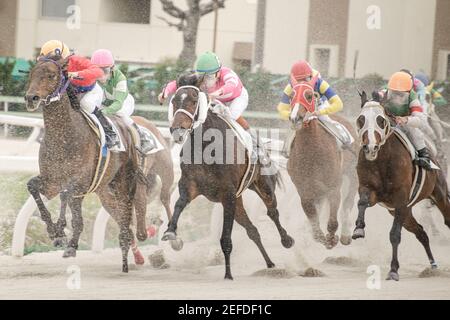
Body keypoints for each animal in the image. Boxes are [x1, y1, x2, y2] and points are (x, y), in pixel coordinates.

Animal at [162, 74, 296, 278]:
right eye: (174, 100)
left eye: (194, 100)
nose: (177, 130)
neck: (207, 147)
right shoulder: (190, 186)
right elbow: (178, 204)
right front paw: (171, 232)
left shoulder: (228, 195)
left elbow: (225, 238)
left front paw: (228, 275)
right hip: (238, 203)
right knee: (252, 230)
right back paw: (270, 263)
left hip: (262, 187)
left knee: (272, 212)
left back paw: (287, 240)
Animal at [288, 82, 358, 248]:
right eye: (291, 96)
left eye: (309, 96)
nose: (295, 118)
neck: (313, 153)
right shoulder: (305, 191)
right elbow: (314, 223)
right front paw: (320, 236)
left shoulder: (333, 187)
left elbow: (333, 221)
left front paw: (332, 238)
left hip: (351, 173)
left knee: (347, 203)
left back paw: (345, 234)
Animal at [354, 91, 448, 282]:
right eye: (361, 119)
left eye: (381, 120)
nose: (370, 147)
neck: (382, 160)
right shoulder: (371, 190)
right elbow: (362, 202)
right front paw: (358, 228)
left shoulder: (400, 199)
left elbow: (394, 235)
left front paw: (393, 270)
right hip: (406, 212)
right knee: (421, 232)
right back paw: (433, 265)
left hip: (438, 195)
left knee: (447, 219)